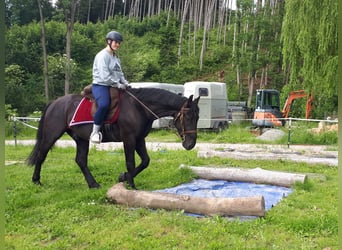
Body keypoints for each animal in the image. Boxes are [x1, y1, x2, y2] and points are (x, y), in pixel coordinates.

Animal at [29, 87, 202, 188]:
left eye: (197, 117)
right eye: (188, 117)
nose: (190, 144)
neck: (139, 107)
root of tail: (54, 102)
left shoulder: (139, 139)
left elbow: (145, 161)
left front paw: (123, 177)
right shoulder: (129, 138)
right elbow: (131, 162)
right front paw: (131, 185)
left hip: (81, 139)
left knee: (80, 160)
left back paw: (93, 184)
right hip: (51, 135)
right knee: (41, 155)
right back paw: (36, 180)